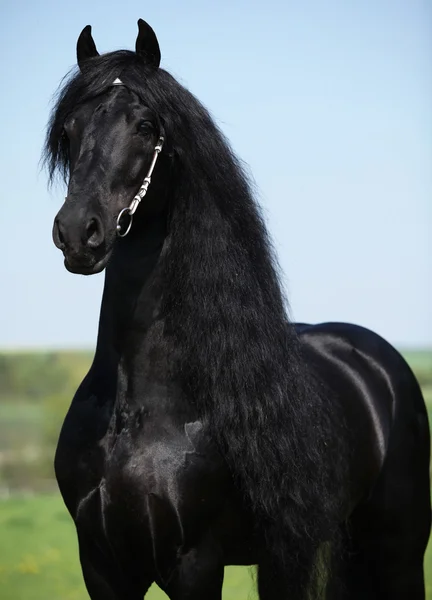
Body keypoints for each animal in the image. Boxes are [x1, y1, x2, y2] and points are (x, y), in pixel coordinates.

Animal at [44, 18, 432, 600]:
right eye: (69, 130)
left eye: (145, 125)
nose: (77, 233)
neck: (138, 409)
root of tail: (376, 359)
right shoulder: (103, 566)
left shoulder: (195, 564)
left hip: (399, 553)